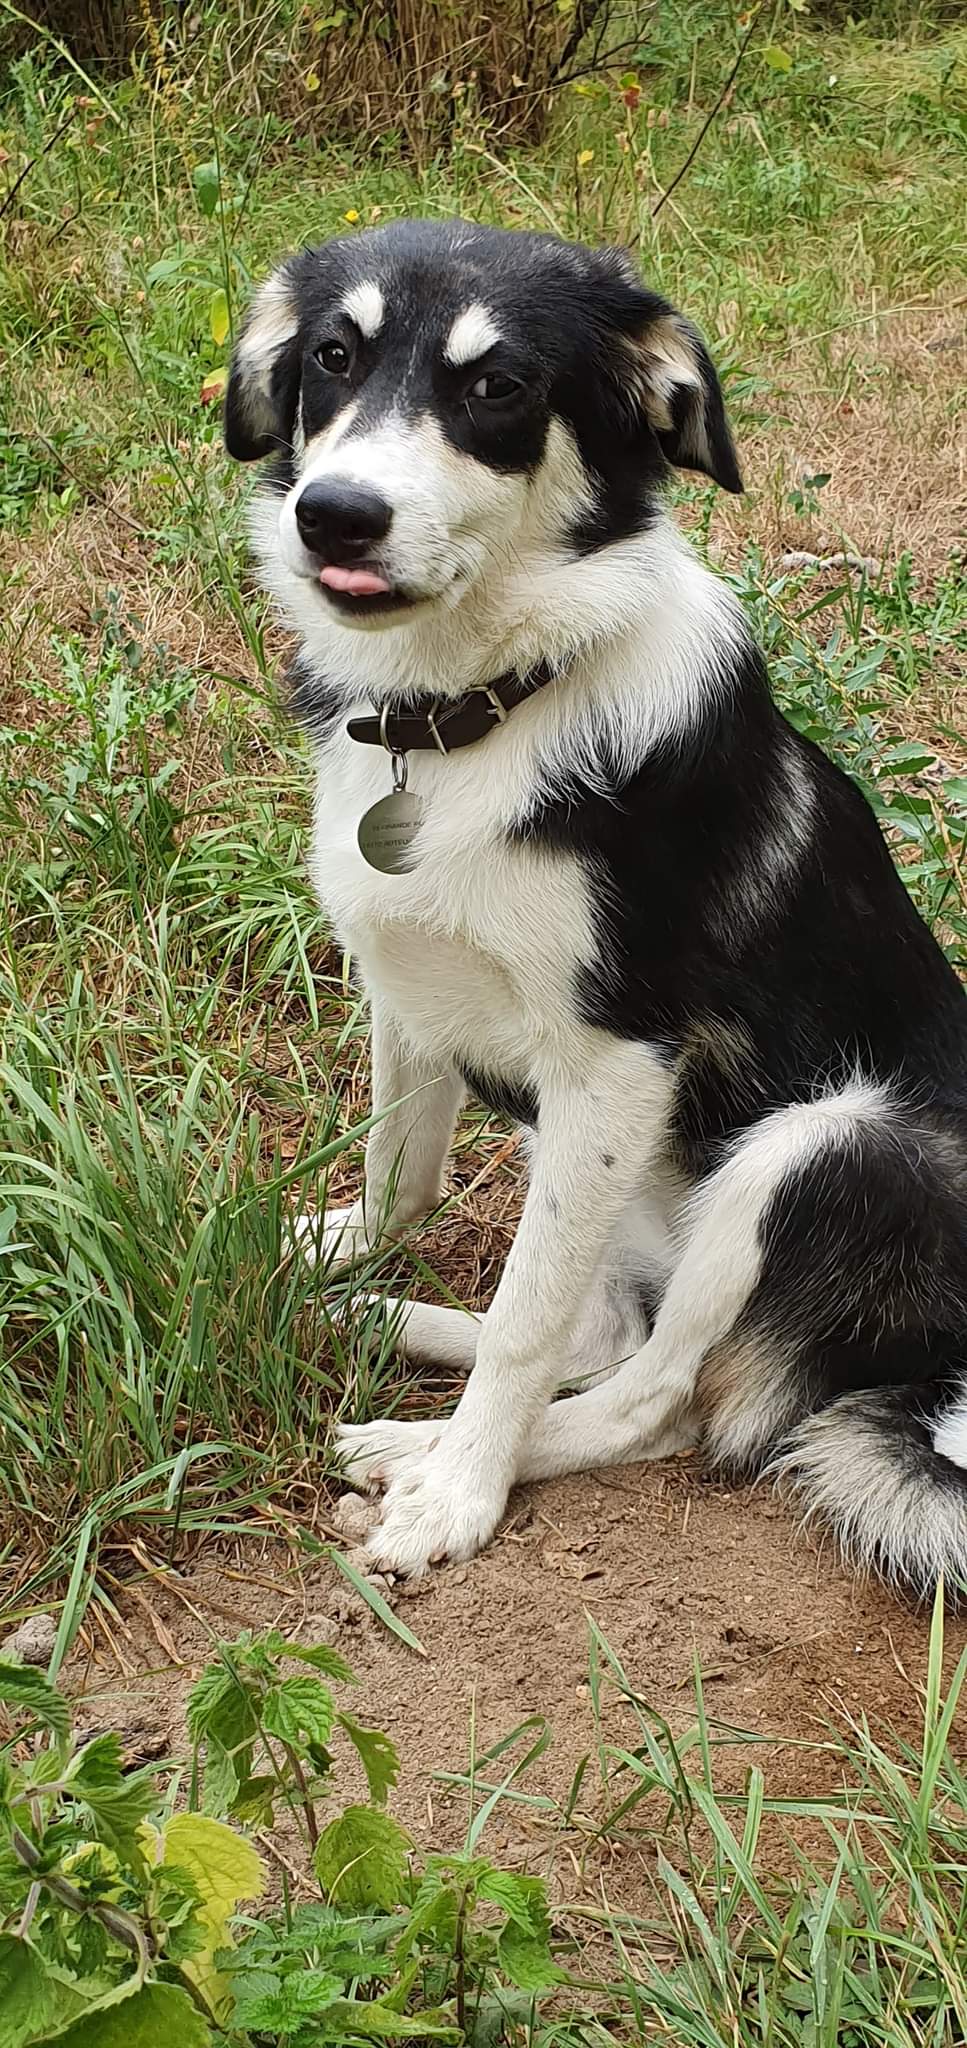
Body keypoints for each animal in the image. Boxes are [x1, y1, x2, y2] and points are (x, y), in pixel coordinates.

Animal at [223, 228, 966, 1597]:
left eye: (499, 387)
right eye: (333, 357)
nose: (334, 512)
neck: (470, 710)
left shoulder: (619, 1061)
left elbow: (527, 1324)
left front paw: (461, 1493)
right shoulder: (411, 990)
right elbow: (399, 1181)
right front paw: (335, 1254)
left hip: (828, 1143)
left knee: (657, 1396)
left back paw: (431, 1451)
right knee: (602, 1331)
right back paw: (379, 1336)